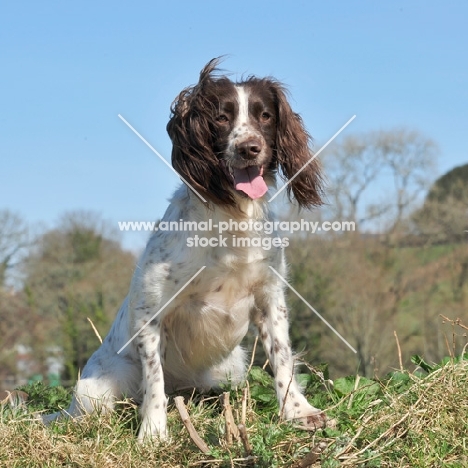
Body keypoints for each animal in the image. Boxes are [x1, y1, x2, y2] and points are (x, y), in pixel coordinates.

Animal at [45, 57, 328, 438]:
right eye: (221, 118)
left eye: (265, 116)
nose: (249, 147)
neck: (232, 217)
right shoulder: (150, 312)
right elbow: (155, 381)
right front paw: (153, 433)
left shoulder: (271, 297)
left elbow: (282, 357)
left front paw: (298, 412)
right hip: (95, 389)